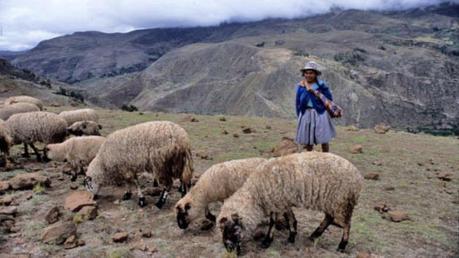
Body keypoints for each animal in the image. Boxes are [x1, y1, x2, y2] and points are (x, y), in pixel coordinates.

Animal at [217, 151, 364, 254]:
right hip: (331, 201)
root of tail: (358, 176)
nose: (228, 249)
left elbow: (273, 222)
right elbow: (291, 218)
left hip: (342, 201)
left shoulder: (276, 202)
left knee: (346, 224)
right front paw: (292, 237)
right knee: (329, 218)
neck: (256, 193)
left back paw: (341, 246)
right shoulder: (283, 202)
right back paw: (314, 235)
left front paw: (267, 242)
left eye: (233, 229)